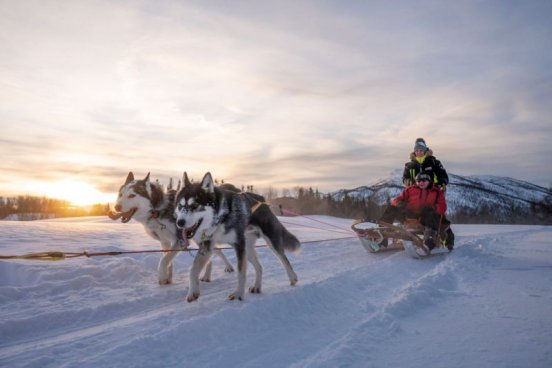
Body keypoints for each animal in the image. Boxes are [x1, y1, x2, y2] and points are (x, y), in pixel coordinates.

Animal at [175, 172, 300, 302]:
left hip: (269, 243)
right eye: (180, 206)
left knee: (284, 258)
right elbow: (193, 269)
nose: (180, 222)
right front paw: (192, 292)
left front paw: (239, 294)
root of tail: (261, 199)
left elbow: (241, 272)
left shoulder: (239, 245)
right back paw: (257, 286)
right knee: (259, 267)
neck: (222, 218)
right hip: (248, 250)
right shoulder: (207, 246)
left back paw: (293, 277)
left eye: (195, 205)